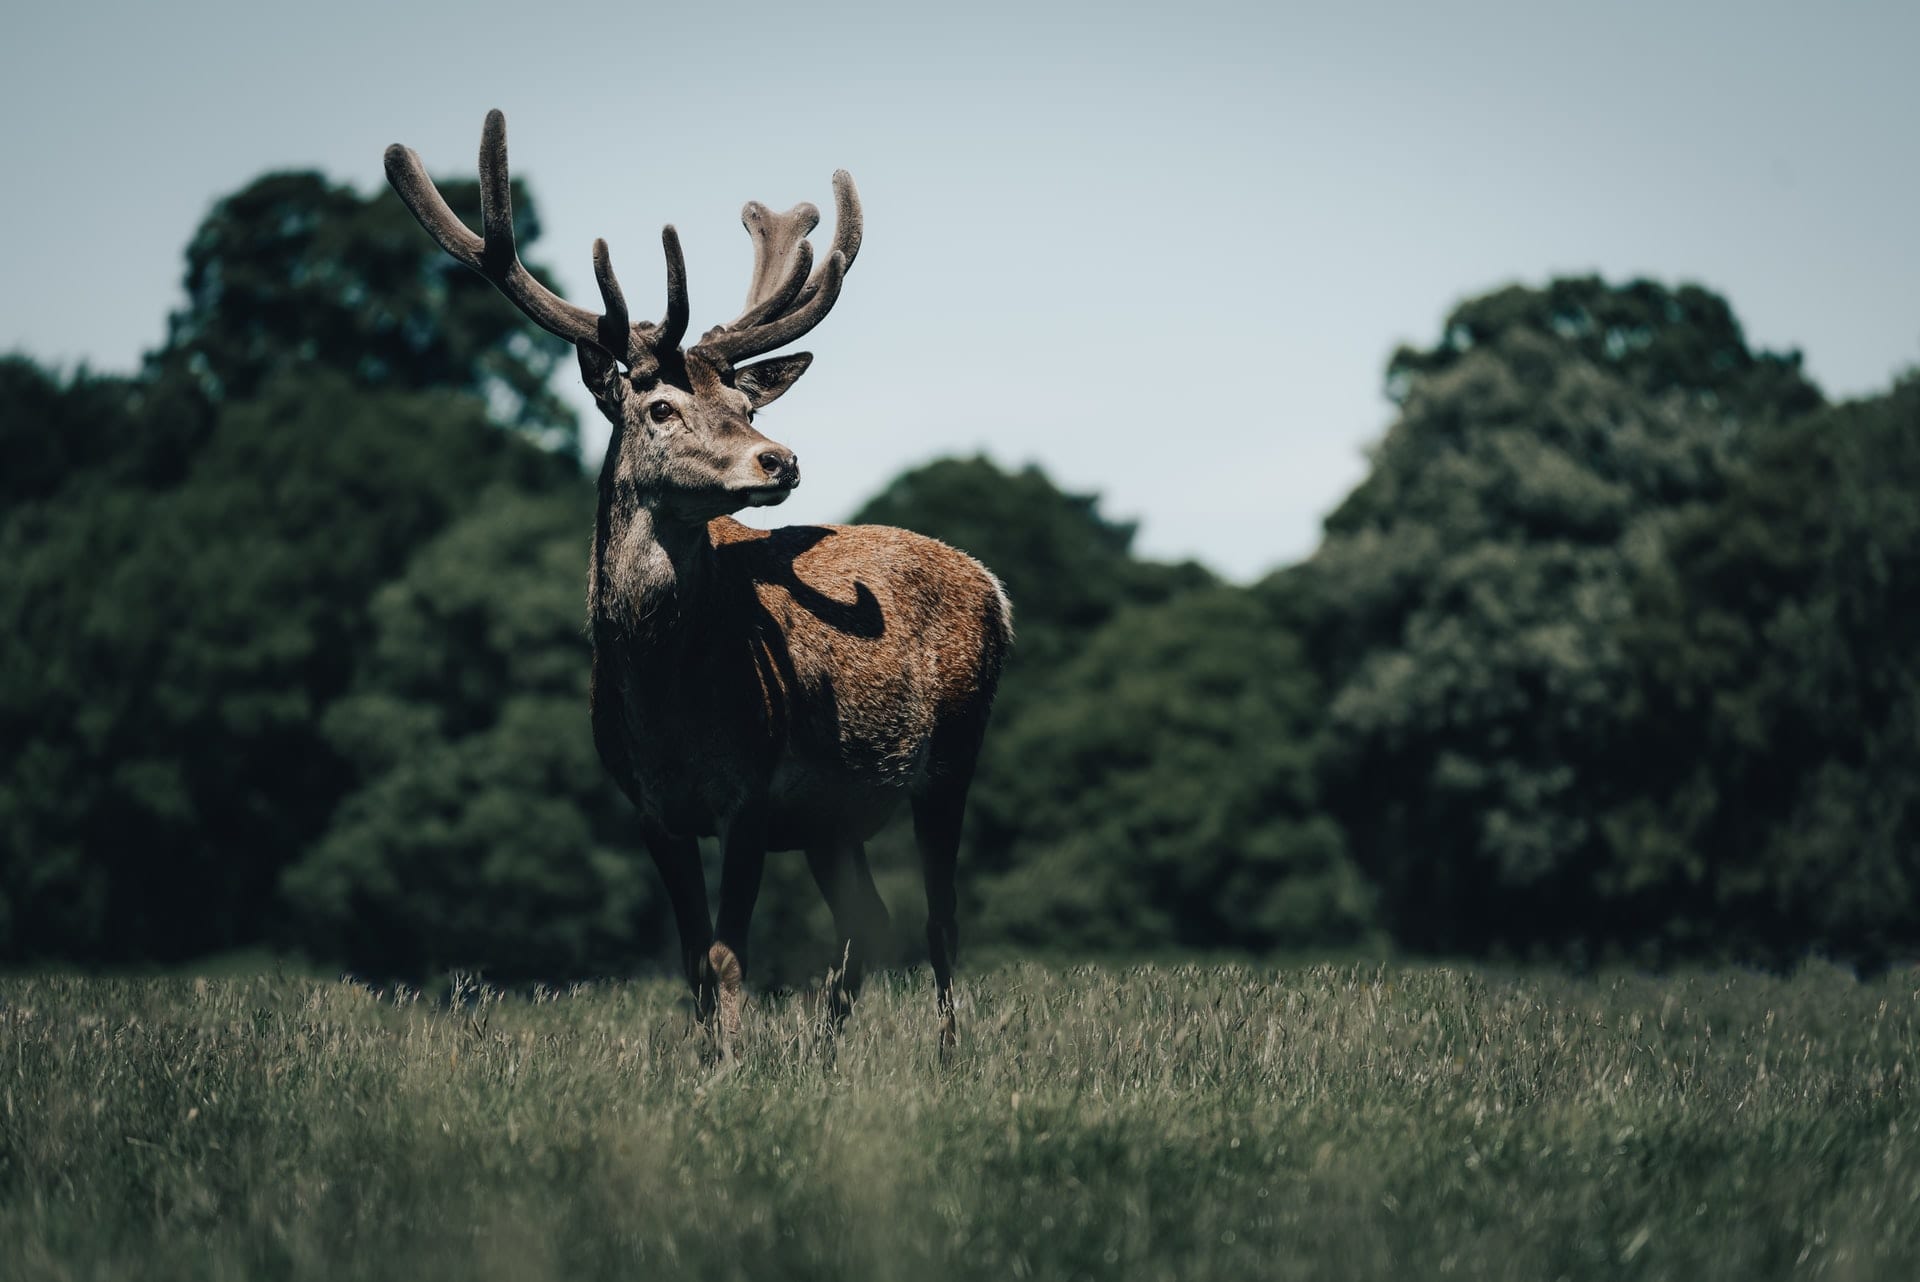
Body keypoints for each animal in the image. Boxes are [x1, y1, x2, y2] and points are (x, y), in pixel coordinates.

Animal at [389, 112, 1021, 1051]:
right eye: (660, 407)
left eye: (747, 407)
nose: (780, 458)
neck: (666, 709)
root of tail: (994, 586)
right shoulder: (651, 809)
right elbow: (691, 960)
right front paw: (706, 1062)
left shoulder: (750, 795)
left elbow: (727, 956)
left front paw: (730, 1065)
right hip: (833, 819)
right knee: (867, 919)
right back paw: (826, 1055)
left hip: (953, 756)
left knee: (940, 920)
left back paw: (946, 1058)